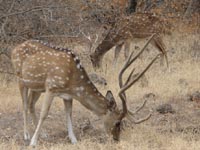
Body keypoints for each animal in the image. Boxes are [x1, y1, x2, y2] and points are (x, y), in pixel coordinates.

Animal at [11, 34, 162, 145]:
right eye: (118, 122)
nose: (116, 139)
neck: (73, 81)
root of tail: (14, 48)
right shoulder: (51, 87)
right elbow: (44, 113)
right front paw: (33, 142)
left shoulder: (67, 95)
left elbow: (69, 114)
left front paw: (74, 140)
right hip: (20, 79)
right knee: (25, 104)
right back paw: (26, 135)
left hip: (36, 87)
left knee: (31, 104)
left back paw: (43, 133)